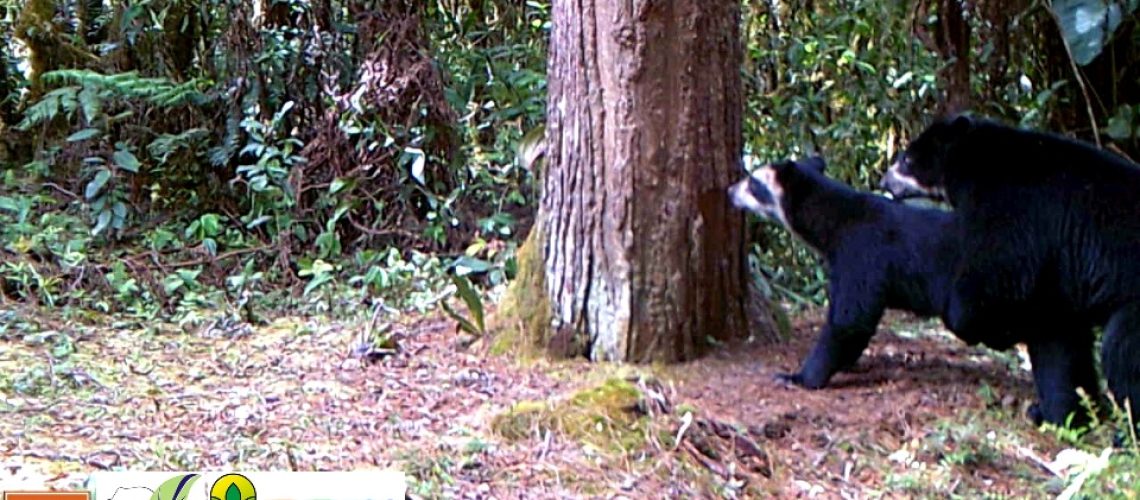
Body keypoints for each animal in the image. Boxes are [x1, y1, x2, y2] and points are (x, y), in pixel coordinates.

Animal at [726, 155, 1063, 390]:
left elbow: (850, 318)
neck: (835, 223)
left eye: (753, 182)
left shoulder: (862, 254)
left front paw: (797, 376)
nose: (729, 190)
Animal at [881, 114, 1140, 433]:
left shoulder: (1011, 207)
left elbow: (996, 279)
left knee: (1123, 355)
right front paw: (1059, 414)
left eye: (907, 159)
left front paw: (987, 329)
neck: (972, 162)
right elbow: (1060, 343)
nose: (884, 180)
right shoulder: (1059, 275)